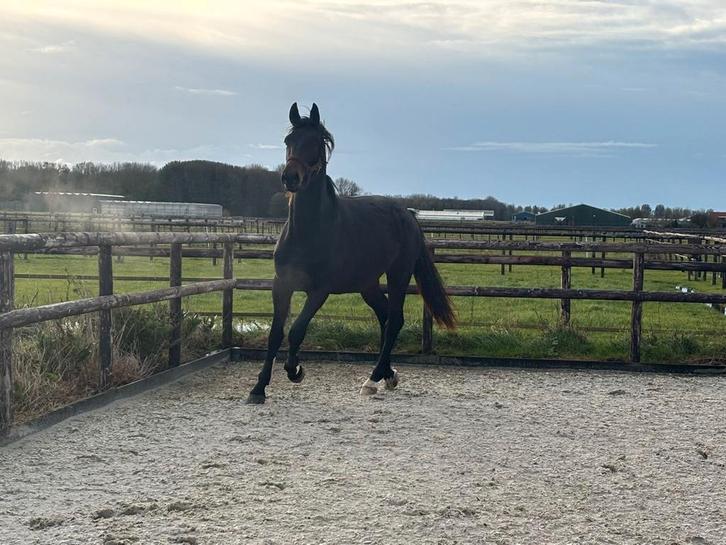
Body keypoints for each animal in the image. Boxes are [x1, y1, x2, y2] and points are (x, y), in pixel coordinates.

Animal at [246, 102, 456, 404]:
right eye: (288, 141)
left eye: (316, 143)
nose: (290, 178)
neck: (308, 231)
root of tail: (407, 214)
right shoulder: (282, 285)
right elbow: (276, 334)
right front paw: (258, 388)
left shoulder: (320, 290)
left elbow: (297, 330)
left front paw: (295, 370)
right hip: (367, 284)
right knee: (386, 317)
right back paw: (387, 374)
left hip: (399, 273)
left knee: (395, 319)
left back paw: (373, 378)